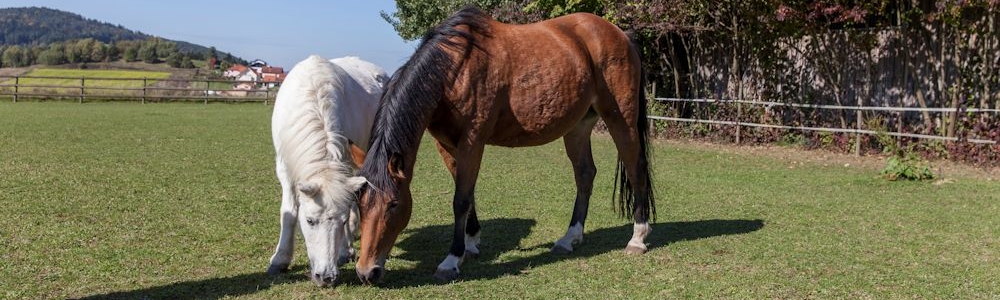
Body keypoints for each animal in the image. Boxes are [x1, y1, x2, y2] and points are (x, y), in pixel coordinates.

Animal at [266, 55, 386, 288]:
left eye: (341, 222)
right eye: (310, 221)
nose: (327, 277)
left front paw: (345, 250)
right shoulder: (284, 168)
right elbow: (289, 212)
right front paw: (280, 260)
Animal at [356, 7, 652, 284]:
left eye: (394, 204)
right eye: (359, 202)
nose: (366, 272)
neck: (454, 71)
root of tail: (621, 35)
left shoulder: (472, 141)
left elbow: (461, 199)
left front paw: (451, 261)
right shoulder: (446, 145)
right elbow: (468, 193)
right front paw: (471, 245)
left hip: (621, 118)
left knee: (635, 169)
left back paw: (637, 238)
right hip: (578, 126)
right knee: (585, 174)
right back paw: (570, 238)